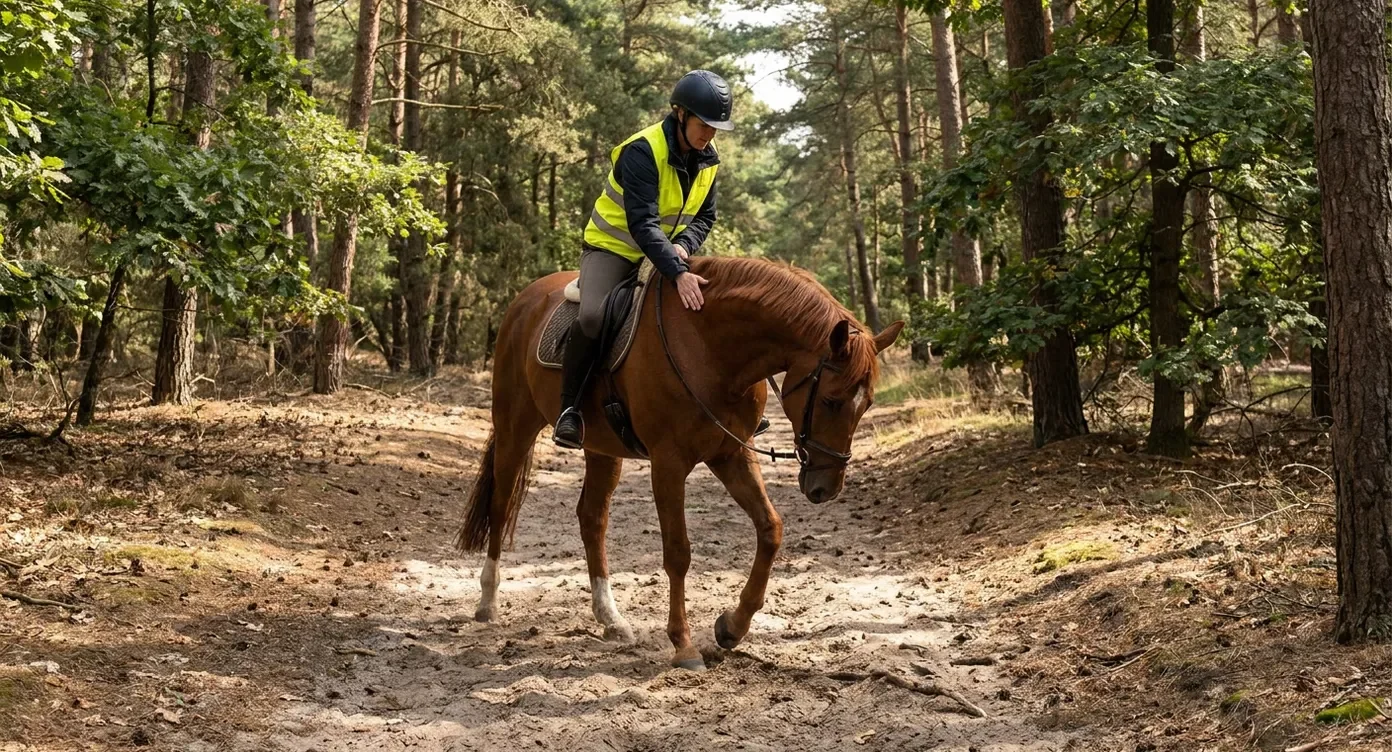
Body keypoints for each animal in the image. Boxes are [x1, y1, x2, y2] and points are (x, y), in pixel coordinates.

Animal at [456, 256, 904, 670]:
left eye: (868, 404)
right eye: (830, 400)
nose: (825, 488)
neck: (711, 348)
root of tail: (525, 300)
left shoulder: (731, 454)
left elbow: (770, 529)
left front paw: (731, 627)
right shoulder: (668, 464)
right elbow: (678, 552)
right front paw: (684, 645)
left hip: (601, 449)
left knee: (592, 518)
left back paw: (611, 619)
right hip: (515, 426)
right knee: (501, 504)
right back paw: (487, 602)